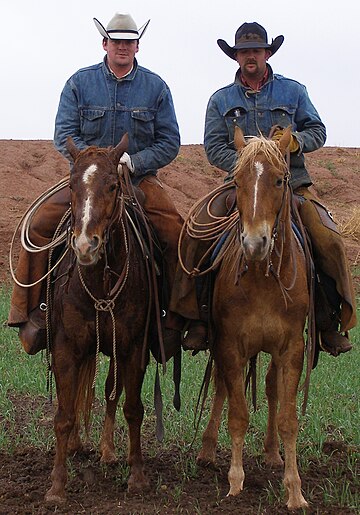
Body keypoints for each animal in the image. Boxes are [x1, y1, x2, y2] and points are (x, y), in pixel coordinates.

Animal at [45, 137, 155, 504]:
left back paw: (107, 450)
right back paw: (79, 445)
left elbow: (132, 408)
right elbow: (64, 415)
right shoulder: (66, 348)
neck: (99, 283)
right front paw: (57, 486)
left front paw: (138, 477)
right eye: (71, 185)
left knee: (109, 393)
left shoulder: (133, 349)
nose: (85, 245)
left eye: (112, 185)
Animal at [197, 128, 310, 512]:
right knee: (221, 388)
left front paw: (295, 491)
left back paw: (273, 454)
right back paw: (206, 451)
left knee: (272, 388)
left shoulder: (292, 349)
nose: (255, 243)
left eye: (279, 180)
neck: (261, 277)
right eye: (237, 181)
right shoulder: (230, 344)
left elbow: (289, 418)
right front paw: (235, 482)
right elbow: (238, 414)